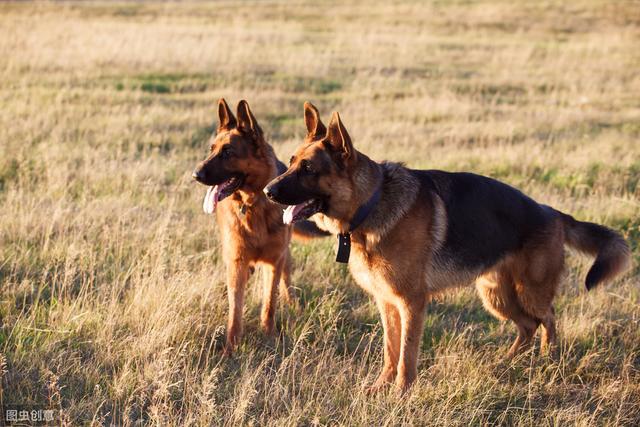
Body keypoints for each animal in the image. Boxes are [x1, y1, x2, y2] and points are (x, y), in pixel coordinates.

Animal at [189, 99, 320, 354]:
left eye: (228, 152)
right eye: (211, 149)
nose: (195, 175)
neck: (253, 204)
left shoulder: (274, 261)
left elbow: (269, 303)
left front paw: (269, 336)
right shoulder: (237, 263)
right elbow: (235, 310)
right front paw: (231, 348)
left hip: (283, 256)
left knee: (286, 279)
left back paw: (292, 303)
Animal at [264, 102, 632, 392]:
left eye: (308, 169)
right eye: (291, 161)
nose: (267, 190)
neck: (371, 203)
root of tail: (553, 213)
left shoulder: (412, 302)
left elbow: (407, 354)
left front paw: (401, 393)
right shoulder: (387, 303)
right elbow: (390, 349)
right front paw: (381, 387)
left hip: (530, 292)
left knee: (549, 321)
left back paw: (548, 360)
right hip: (495, 295)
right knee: (528, 326)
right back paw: (506, 362)